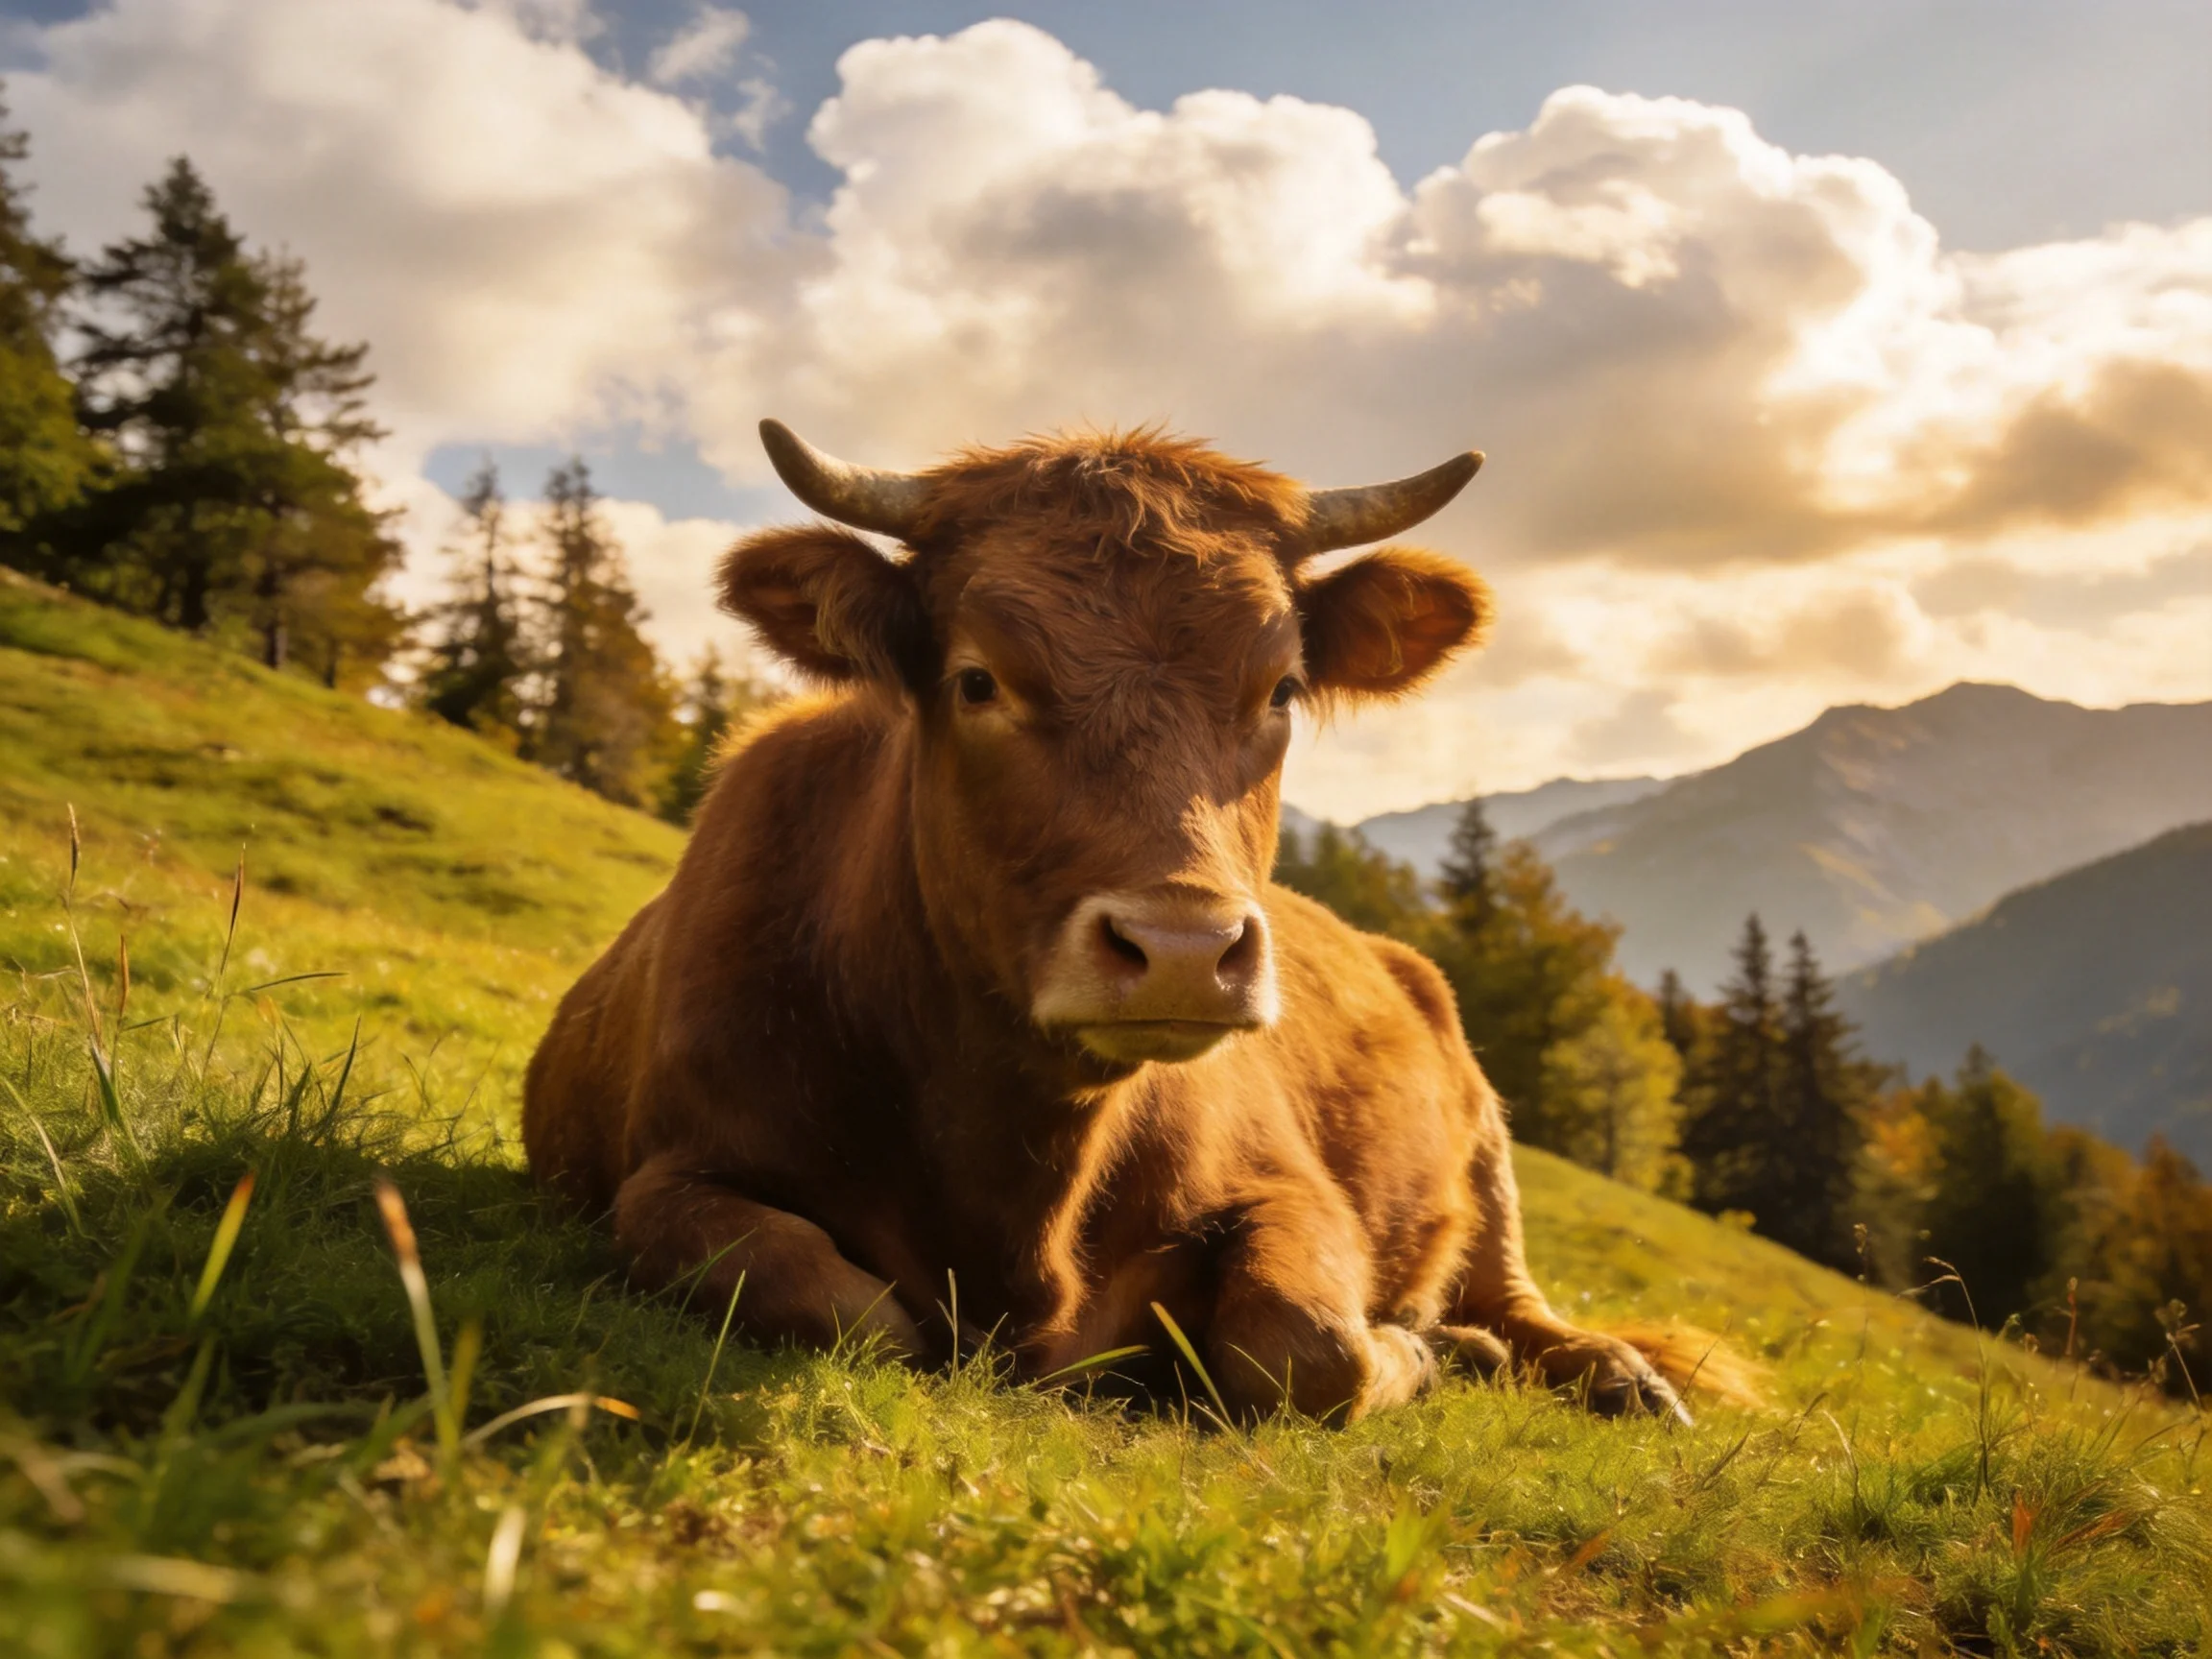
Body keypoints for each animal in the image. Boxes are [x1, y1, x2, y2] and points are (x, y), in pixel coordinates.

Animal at [523, 419, 1708, 1424]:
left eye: (1282, 689)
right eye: (977, 680)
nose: (1183, 951)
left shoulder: (1294, 1189)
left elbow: (1306, 1345)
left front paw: (1423, 1347)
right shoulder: (674, 1171)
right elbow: (844, 1309)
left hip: (1489, 1141)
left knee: (1514, 1297)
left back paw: (1610, 1372)